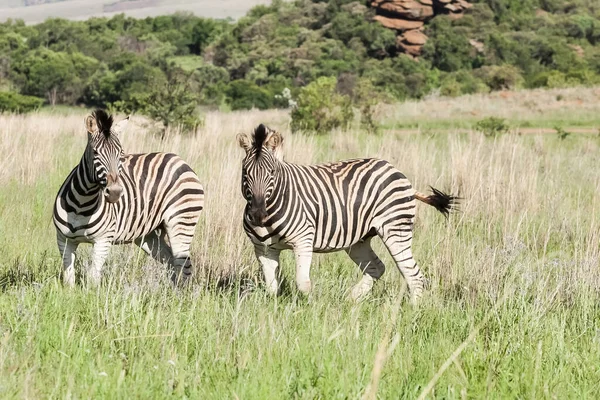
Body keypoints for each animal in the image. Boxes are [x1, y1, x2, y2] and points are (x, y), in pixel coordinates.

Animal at [54, 109, 204, 286]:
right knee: (171, 262)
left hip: (181, 222)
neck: (82, 203)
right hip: (149, 234)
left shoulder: (103, 241)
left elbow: (93, 277)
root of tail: (180, 160)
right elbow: (68, 278)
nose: (115, 192)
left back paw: (181, 293)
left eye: (121, 154)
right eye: (95, 152)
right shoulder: (64, 240)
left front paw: (92, 293)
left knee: (184, 265)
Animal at [237, 123, 458, 302]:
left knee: (413, 275)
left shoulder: (303, 241)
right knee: (377, 267)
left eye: (272, 173)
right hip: (359, 240)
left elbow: (303, 284)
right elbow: (271, 288)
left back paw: (412, 312)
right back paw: (351, 300)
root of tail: (395, 169)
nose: (258, 215)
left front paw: (313, 310)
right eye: (245, 173)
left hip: (396, 230)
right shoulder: (264, 249)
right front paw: (274, 314)